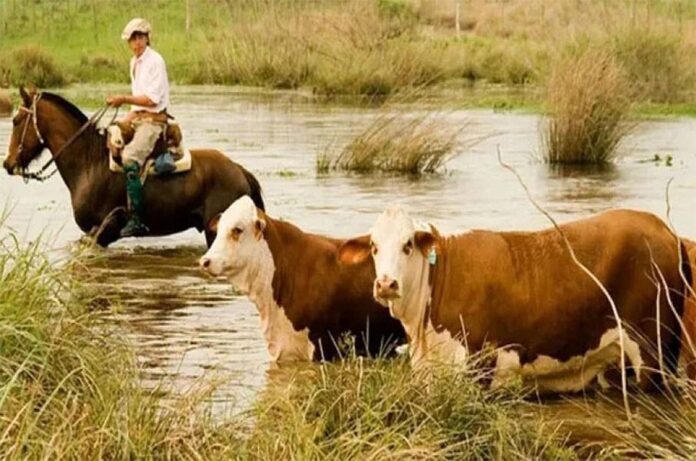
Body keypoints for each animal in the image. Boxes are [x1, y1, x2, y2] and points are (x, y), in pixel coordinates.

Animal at [338, 208, 692, 392]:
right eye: (374, 246)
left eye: (408, 245)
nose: (386, 284)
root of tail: (660, 227)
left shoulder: (479, 363)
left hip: (651, 350)